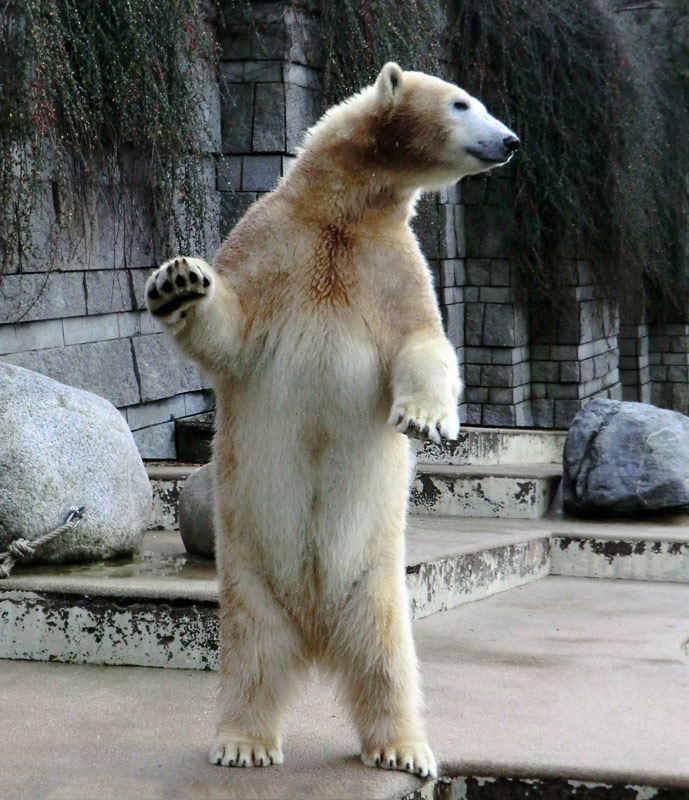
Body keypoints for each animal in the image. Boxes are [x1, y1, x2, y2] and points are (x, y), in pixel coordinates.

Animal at [148, 65, 520, 780]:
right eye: (463, 102)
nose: (511, 140)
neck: (342, 209)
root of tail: (316, 634)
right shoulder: (274, 238)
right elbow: (229, 332)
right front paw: (179, 280)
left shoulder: (391, 262)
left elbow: (423, 341)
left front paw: (424, 417)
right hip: (248, 575)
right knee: (253, 655)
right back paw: (244, 742)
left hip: (377, 580)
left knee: (389, 660)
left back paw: (403, 747)